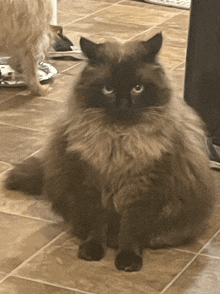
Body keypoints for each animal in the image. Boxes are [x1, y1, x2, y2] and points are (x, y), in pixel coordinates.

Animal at [4, 32, 215, 272]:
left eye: (138, 88)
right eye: (108, 89)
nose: (123, 104)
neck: (119, 142)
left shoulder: (142, 192)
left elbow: (131, 231)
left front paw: (128, 260)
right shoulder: (93, 186)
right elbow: (97, 226)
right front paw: (92, 251)